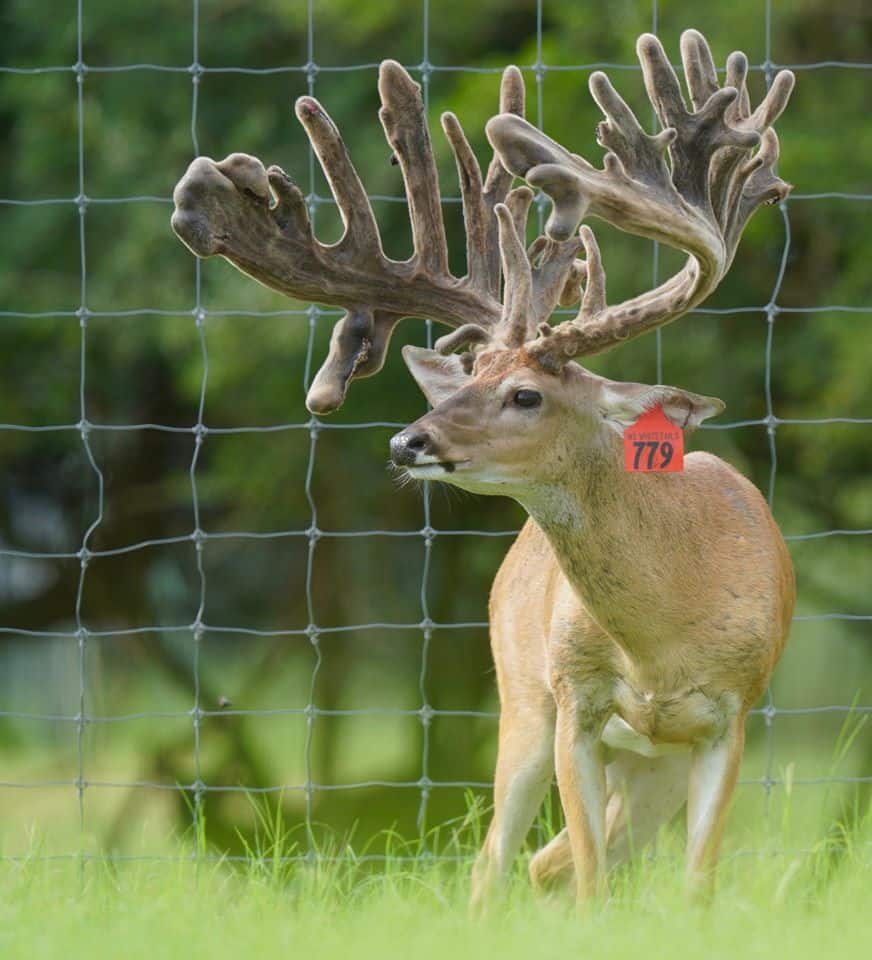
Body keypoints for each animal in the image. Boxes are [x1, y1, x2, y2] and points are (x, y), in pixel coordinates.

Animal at [171, 30, 795, 908]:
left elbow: (695, 887)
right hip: (521, 703)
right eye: (467, 378)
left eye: (525, 394)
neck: (662, 639)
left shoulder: (730, 717)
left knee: (550, 858)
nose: (408, 442)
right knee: (499, 858)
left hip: (646, 766)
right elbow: (590, 882)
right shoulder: (573, 705)